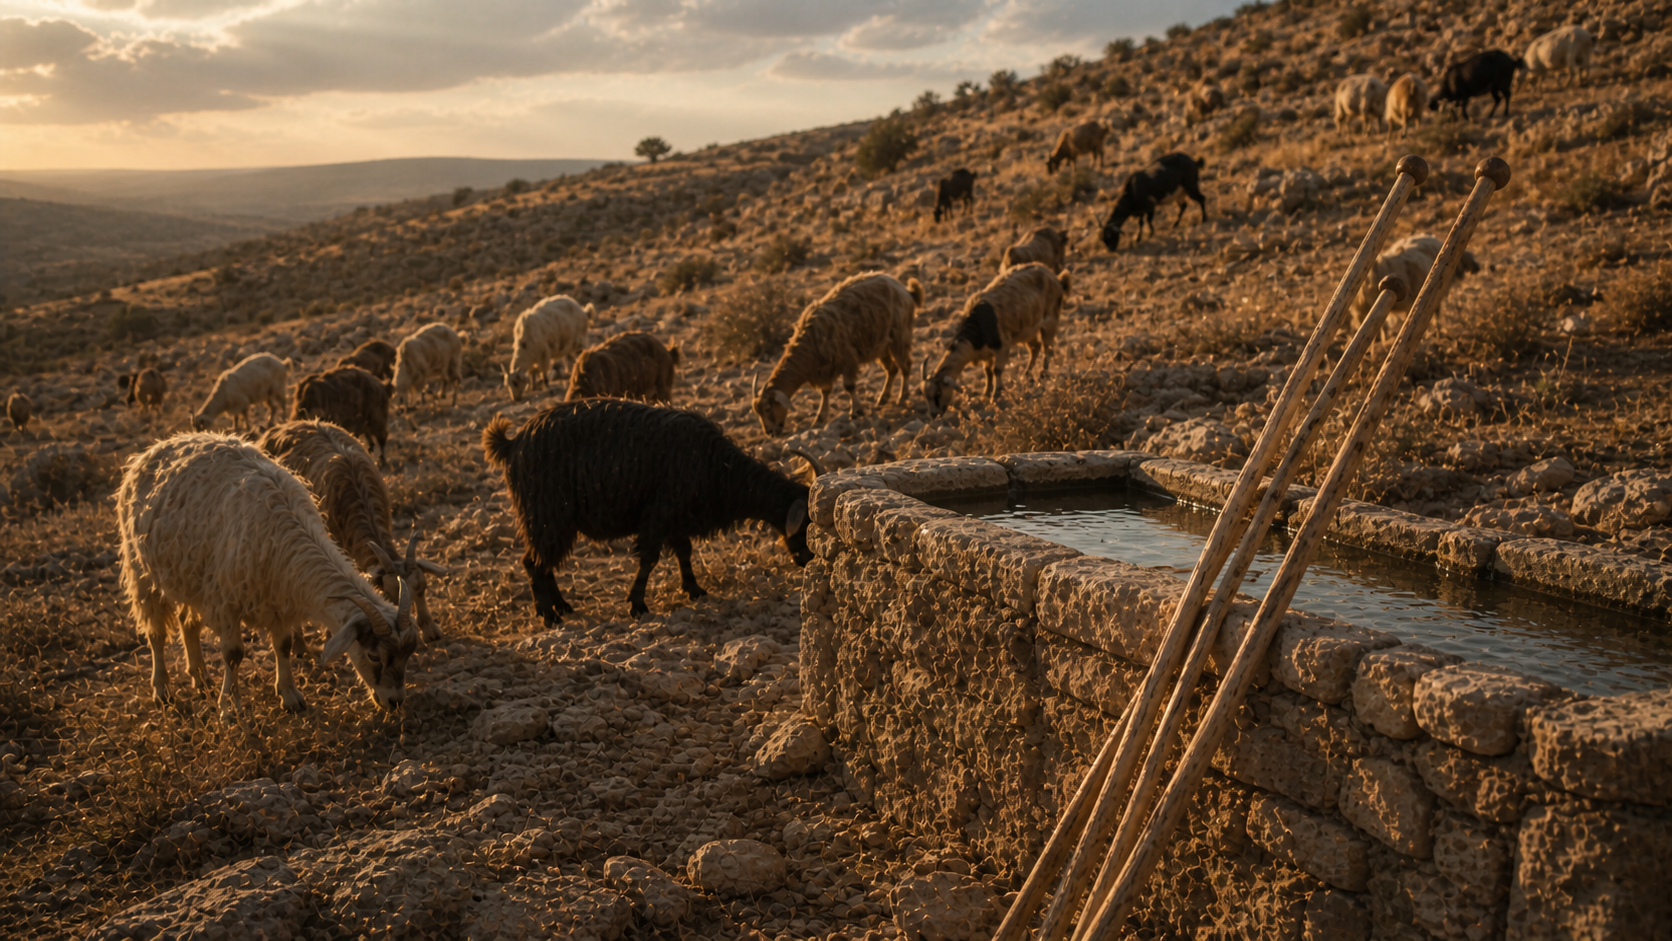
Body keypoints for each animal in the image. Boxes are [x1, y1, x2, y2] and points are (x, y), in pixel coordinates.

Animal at [117, 433, 419, 713]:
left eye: (407, 656)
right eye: (374, 656)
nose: (395, 701)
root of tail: (156, 447)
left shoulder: (278, 600)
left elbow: (283, 645)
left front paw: (290, 696)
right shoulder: (226, 601)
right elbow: (233, 654)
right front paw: (230, 707)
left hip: (192, 578)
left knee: (187, 622)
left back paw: (201, 679)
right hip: (140, 569)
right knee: (155, 631)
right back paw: (162, 689)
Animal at [483, 400, 820, 623]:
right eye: (806, 525)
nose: (808, 562)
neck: (719, 468)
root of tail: (513, 444)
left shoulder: (677, 518)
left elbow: (684, 552)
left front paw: (694, 588)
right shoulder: (658, 514)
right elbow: (649, 560)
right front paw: (637, 604)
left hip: (550, 521)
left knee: (543, 563)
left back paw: (562, 606)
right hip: (547, 516)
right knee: (533, 563)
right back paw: (548, 614)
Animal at [752, 272, 922, 435]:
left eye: (768, 408)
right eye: (757, 412)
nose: (770, 432)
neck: (810, 340)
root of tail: (906, 291)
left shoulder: (847, 358)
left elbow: (849, 386)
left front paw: (856, 411)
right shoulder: (824, 369)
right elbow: (825, 391)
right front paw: (820, 417)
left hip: (899, 336)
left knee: (905, 366)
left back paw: (902, 396)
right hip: (881, 346)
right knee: (892, 369)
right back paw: (883, 398)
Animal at [923, 263, 1068, 413]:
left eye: (938, 393)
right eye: (925, 395)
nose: (934, 414)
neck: (977, 326)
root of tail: (1056, 279)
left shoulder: (1002, 346)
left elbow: (996, 370)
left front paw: (996, 394)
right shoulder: (986, 352)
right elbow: (987, 372)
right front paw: (986, 394)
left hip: (1050, 319)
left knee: (1047, 348)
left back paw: (1043, 374)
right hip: (1029, 329)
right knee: (1035, 348)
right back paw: (1027, 374)